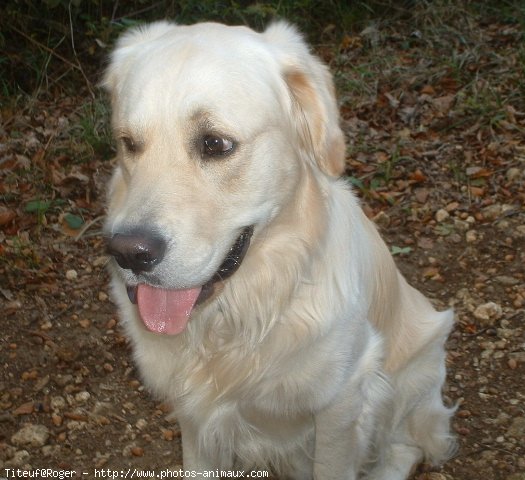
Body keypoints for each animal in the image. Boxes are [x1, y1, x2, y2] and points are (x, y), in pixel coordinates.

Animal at [103, 20, 454, 478]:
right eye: (128, 143)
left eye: (215, 143)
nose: (128, 253)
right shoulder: (196, 418)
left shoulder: (341, 401)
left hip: (414, 374)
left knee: (406, 446)